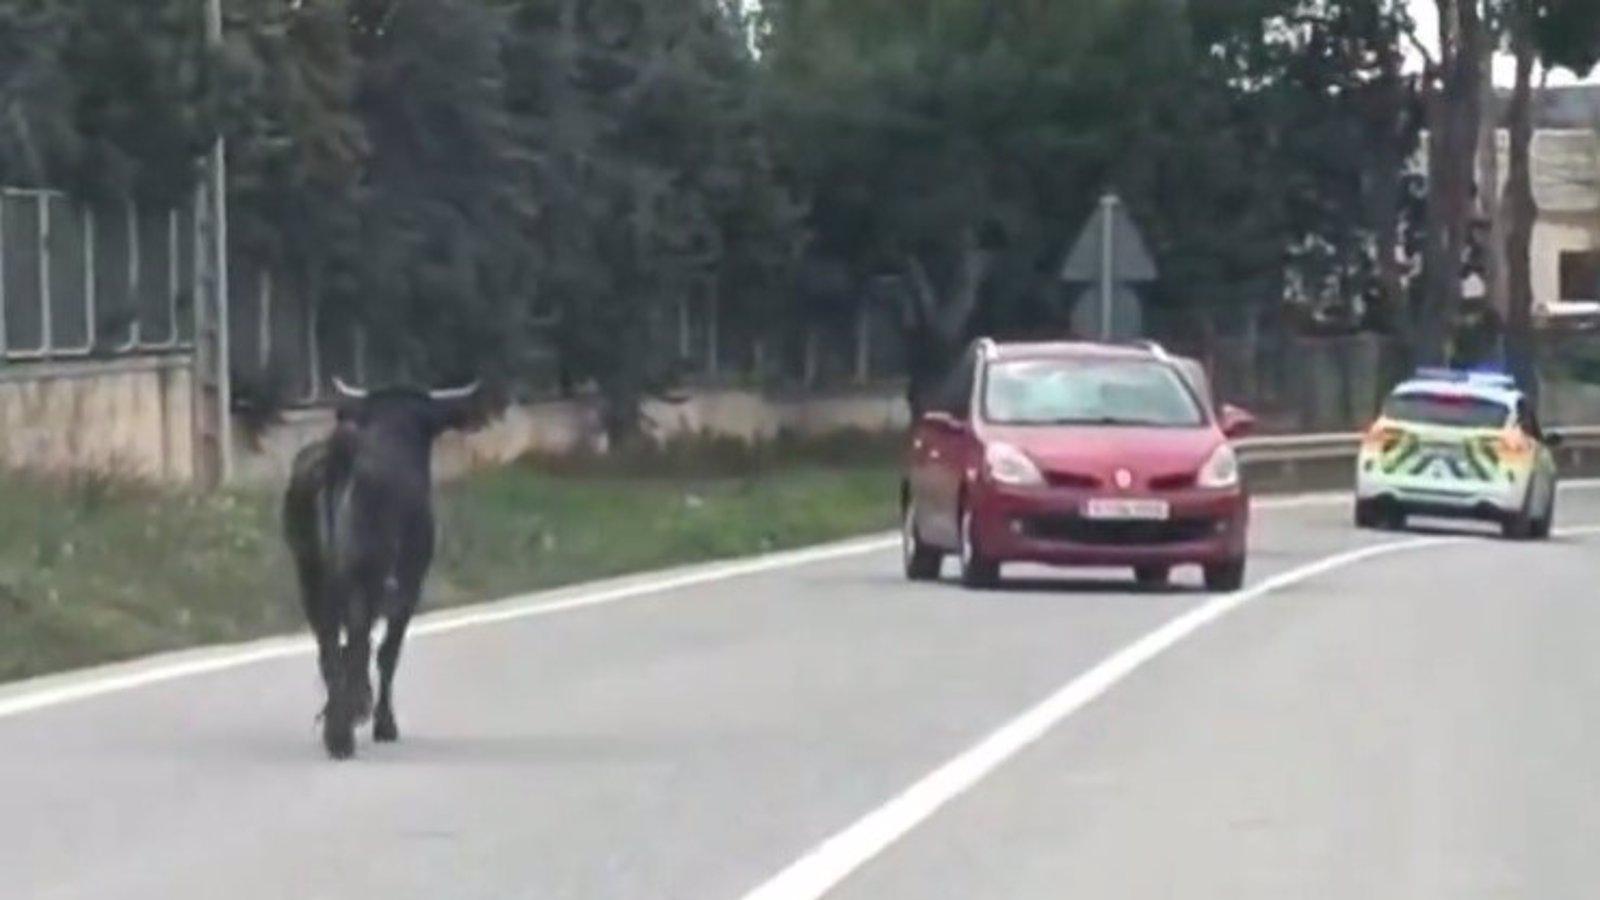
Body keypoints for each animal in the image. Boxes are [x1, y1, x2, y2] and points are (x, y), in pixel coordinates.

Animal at [281, 377, 480, 755]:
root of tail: (338, 456)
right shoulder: (409, 584)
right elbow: (389, 651)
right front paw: (383, 723)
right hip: (364, 574)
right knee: (359, 640)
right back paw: (345, 730)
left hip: (309, 575)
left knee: (329, 643)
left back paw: (336, 725)